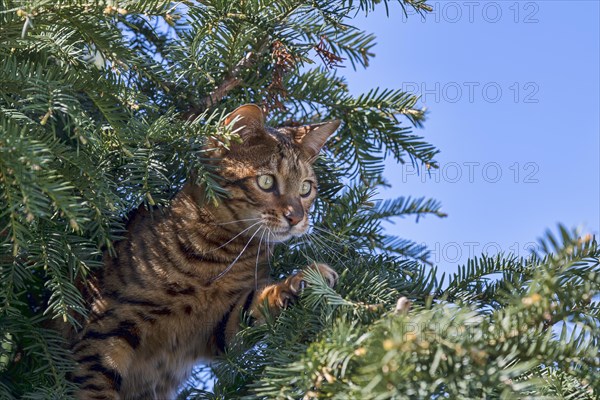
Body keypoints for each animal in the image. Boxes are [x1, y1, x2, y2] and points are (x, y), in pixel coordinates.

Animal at [68, 104, 340, 398]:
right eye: (266, 182)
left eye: (306, 188)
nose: (297, 217)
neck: (216, 258)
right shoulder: (108, 324)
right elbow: (95, 386)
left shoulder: (219, 327)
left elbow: (258, 303)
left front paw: (304, 280)